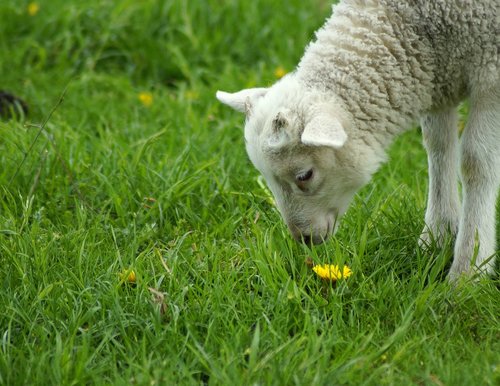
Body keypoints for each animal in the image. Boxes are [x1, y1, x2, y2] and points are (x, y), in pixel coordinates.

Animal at [216, 0, 500, 278]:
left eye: (304, 175)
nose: (303, 238)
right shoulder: (438, 76)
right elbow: (438, 147)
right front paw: (437, 236)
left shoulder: (491, 71)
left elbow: (476, 161)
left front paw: (469, 269)